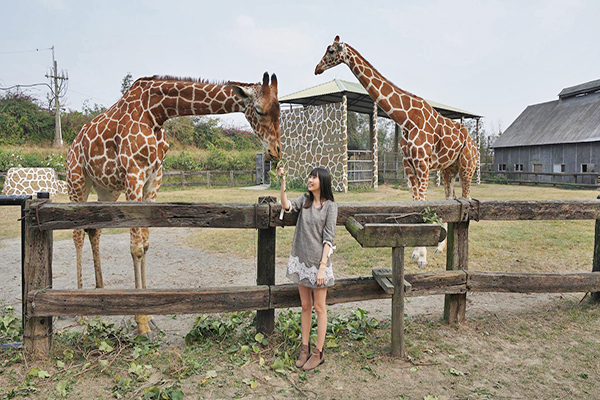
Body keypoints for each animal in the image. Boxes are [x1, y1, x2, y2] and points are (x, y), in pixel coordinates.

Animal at [67, 71, 282, 334]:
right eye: (259, 110)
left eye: (279, 109)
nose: (275, 151)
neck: (156, 112)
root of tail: (72, 144)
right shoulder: (134, 174)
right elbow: (136, 247)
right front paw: (141, 322)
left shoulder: (153, 178)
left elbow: (145, 244)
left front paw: (149, 315)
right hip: (77, 182)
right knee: (77, 234)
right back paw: (79, 307)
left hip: (106, 189)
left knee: (94, 230)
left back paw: (100, 291)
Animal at [314, 37, 478, 268]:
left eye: (330, 51)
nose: (317, 68)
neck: (406, 118)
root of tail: (473, 142)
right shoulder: (409, 163)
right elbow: (416, 203)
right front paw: (417, 252)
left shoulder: (422, 163)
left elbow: (423, 204)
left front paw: (421, 258)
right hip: (448, 170)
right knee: (450, 199)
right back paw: (439, 248)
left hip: (467, 166)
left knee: (466, 199)